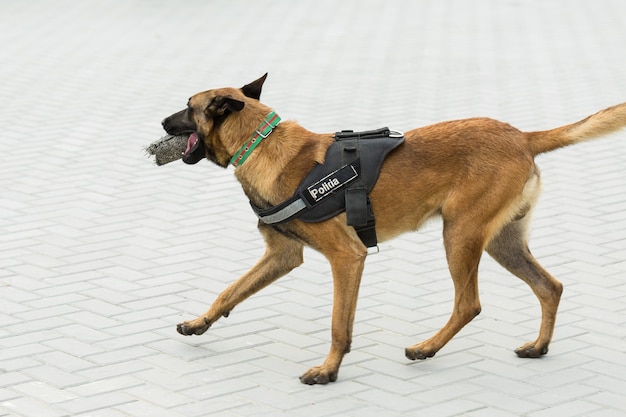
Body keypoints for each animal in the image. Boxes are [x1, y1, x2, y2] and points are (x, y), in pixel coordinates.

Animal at [160, 75, 624, 384]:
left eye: (187, 107)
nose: (162, 123)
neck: (260, 142)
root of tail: (523, 137)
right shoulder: (282, 255)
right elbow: (230, 290)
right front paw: (199, 323)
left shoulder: (347, 258)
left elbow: (339, 325)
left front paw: (329, 370)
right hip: (502, 242)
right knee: (550, 287)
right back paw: (538, 346)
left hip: (460, 235)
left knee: (469, 303)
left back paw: (426, 348)